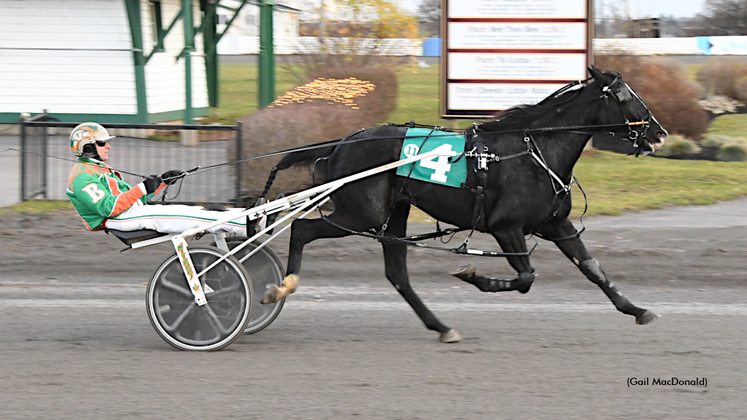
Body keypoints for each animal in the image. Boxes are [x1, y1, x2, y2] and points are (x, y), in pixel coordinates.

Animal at [262, 65, 668, 342]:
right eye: (624, 96)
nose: (660, 133)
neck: (536, 151)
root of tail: (342, 142)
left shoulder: (556, 224)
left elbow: (593, 269)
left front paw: (637, 309)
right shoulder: (507, 227)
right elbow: (525, 278)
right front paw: (473, 275)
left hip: (393, 213)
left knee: (397, 274)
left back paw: (441, 327)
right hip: (361, 213)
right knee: (302, 229)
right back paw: (281, 286)